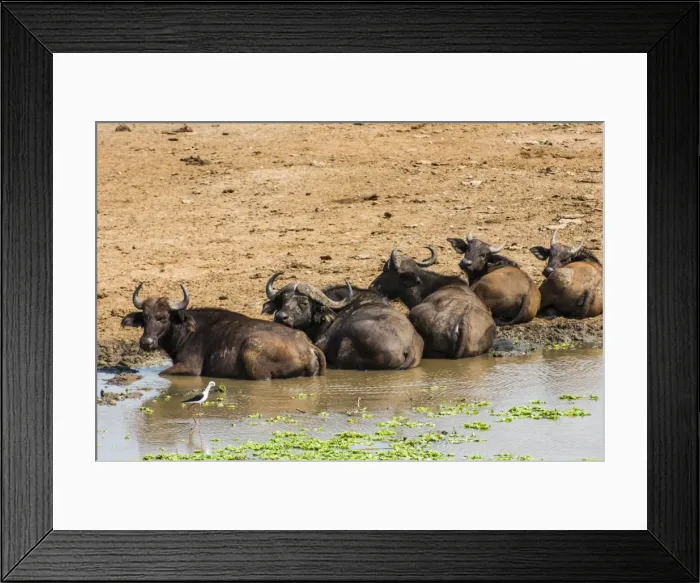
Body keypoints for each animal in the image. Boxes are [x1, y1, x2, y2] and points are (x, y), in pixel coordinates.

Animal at [121, 283, 326, 379]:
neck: (188, 331)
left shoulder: (191, 368)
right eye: (145, 316)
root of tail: (308, 347)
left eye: (163, 317)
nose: (146, 342)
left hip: (252, 352)